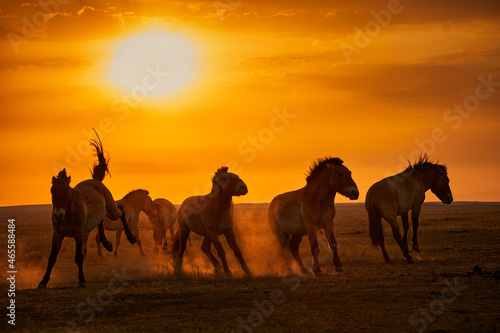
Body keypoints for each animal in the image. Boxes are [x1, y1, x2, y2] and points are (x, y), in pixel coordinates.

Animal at [38, 132, 137, 288]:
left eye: (66, 191)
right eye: (52, 191)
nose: (58, 215)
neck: (69, 214)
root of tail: (96, 181)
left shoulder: (79, 234)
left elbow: (78, 257)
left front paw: (82, 279)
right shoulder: (57, 234)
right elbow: (52, 257)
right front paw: (43, 281)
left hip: (111, 210)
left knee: (121, 210)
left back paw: (131, 237)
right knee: (100, 221)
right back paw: (107, 244)